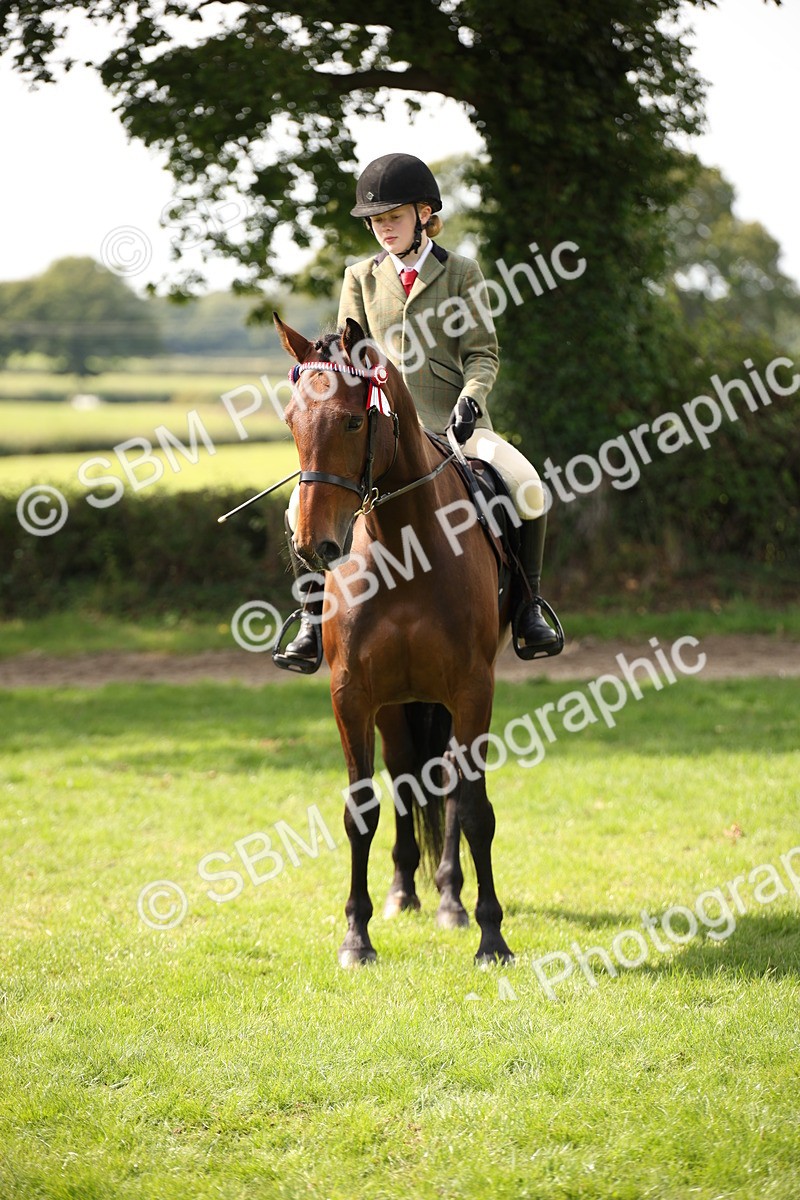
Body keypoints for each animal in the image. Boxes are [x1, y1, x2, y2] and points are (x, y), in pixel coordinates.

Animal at [275, 313, 515, 966]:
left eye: (355, 420)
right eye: (291, 421)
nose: (313, 546)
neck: (403, 544)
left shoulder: (473, 688)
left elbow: (474, 809)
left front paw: (491, 937)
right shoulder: (352, 694)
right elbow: (362, 809)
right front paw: (356, 938)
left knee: (447, 788)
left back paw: (451, 901)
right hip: (394, 701)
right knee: (407, 778)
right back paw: (405, 891)